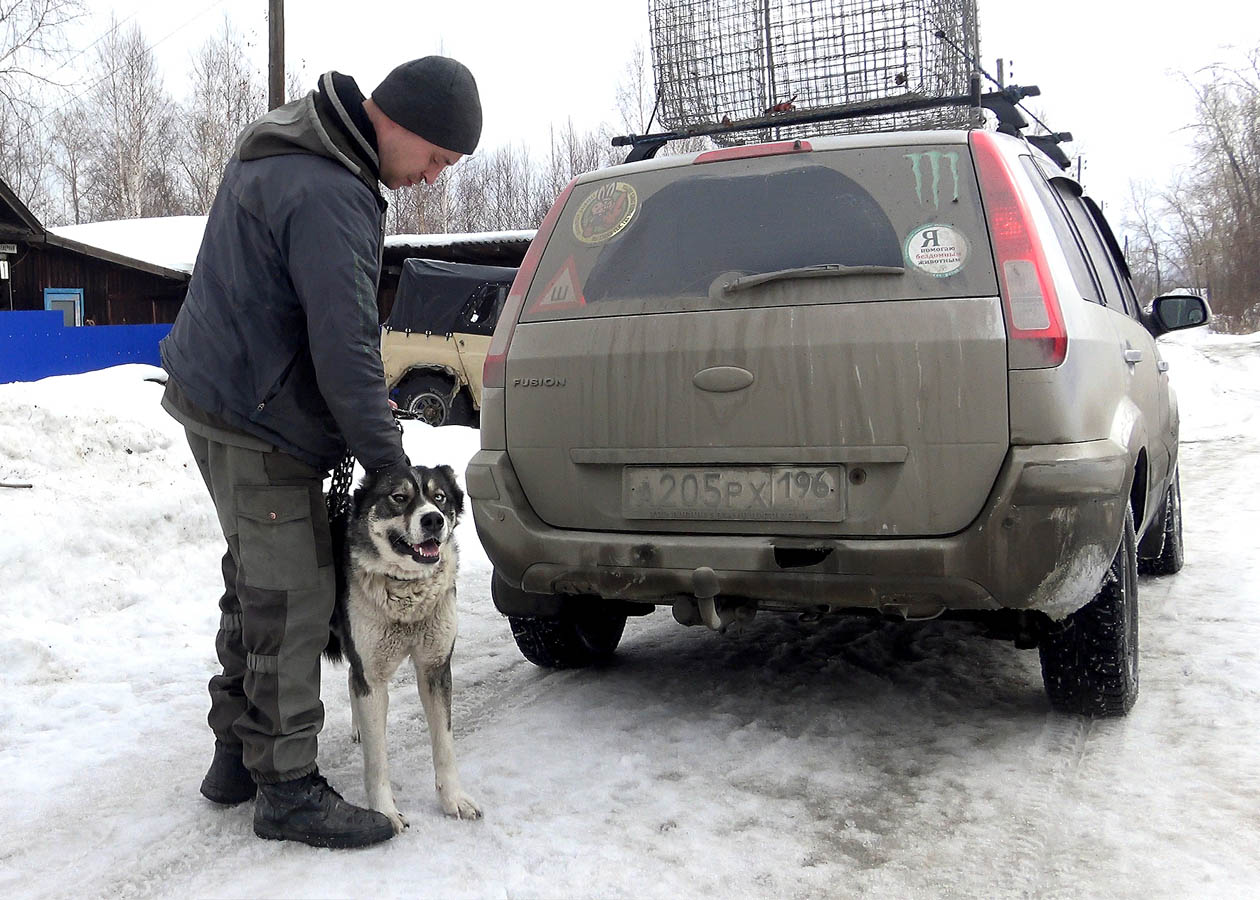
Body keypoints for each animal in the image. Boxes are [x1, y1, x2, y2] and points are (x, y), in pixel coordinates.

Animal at [325, 463, 481, 826]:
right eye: (399, 498)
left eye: (439, 497)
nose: (433, 519)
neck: (407, 594)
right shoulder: (373, 676)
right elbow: (377, 758)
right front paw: (384, 812)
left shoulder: (435, 668)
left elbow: (444, 746)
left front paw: (453, 800)